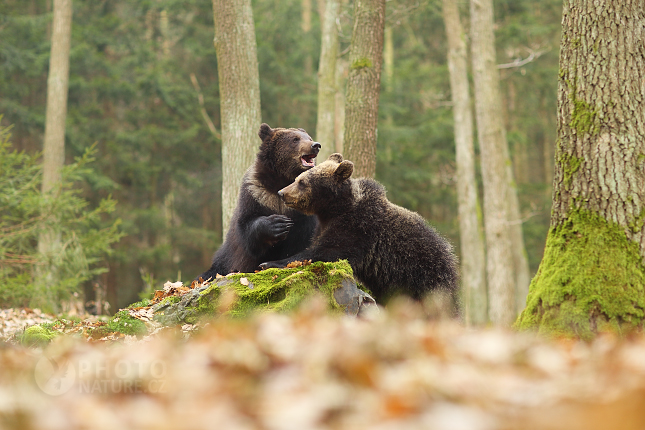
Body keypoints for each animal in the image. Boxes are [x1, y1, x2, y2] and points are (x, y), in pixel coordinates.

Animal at [194, 122, 320, 280]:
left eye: (309, 137)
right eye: (295, 139)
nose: (315, 145)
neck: (282, 180)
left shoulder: (304, 210)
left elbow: (305, 238)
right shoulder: (256, 194)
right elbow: (248, 224)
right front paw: (277, 224)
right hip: (226, 258)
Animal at [260, 153, 460, 304]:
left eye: (302, 182)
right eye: (297, 179)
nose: (282, 192)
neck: (334, 210)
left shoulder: (357, 228)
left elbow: (325, 251)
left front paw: (269, 263)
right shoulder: (325, 226)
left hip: (421, 274)